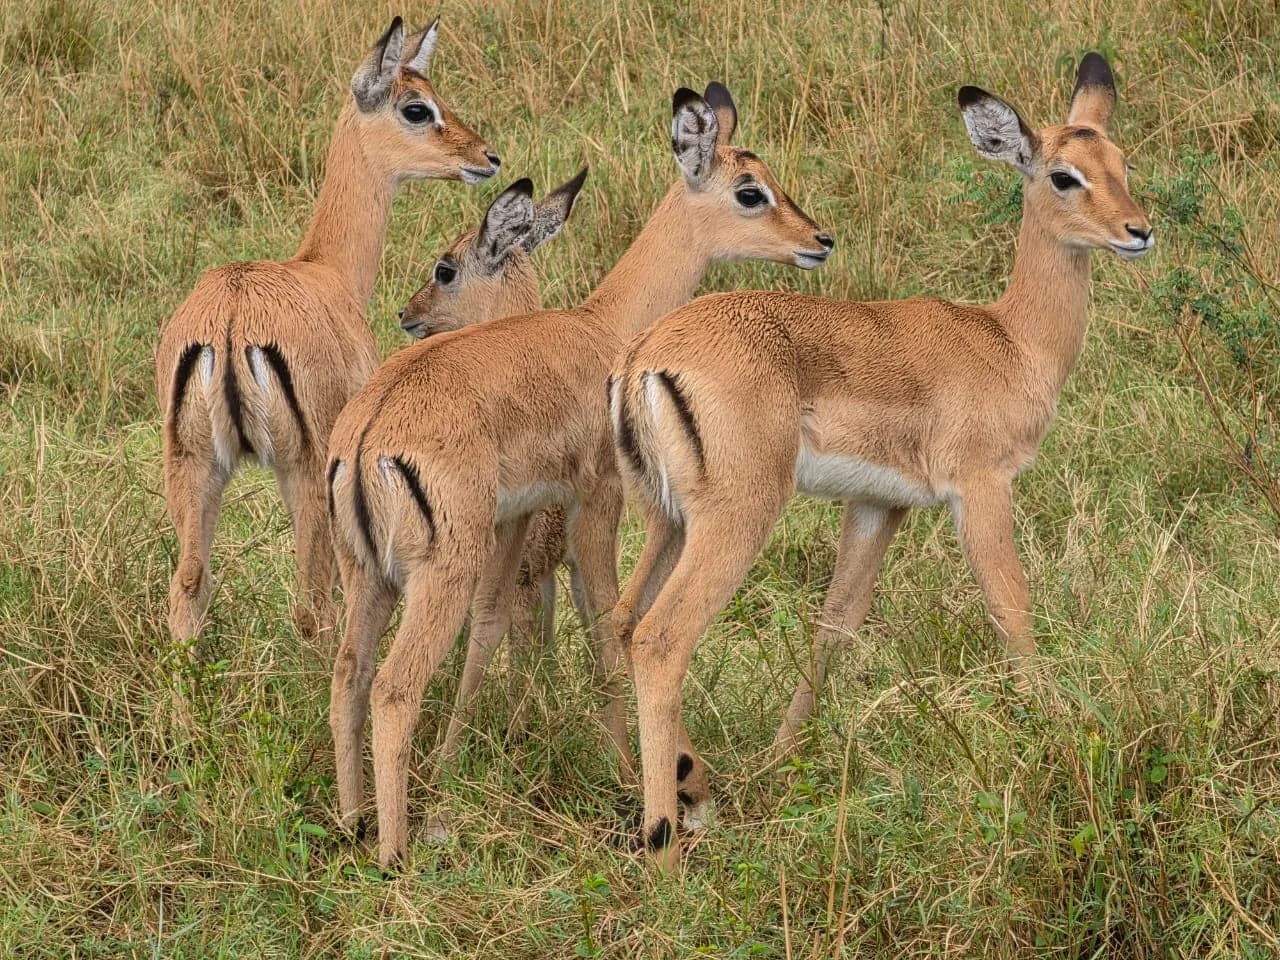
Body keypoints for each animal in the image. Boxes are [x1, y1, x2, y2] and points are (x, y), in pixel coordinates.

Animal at [156, 18, 499, 643]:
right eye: (417, 108)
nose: (487, 157)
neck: (326, 270)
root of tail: (231, 321)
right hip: (304, 473)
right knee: (311, 604)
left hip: (192, 464)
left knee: (189, 586)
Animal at [326, 82, 833, 866]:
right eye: (750, 191)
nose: (818, 241)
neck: (603, 328)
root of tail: (368, 434)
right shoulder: (596, 504)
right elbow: (607, 631)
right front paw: (642, 778)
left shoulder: (517, 519)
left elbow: (502, 627)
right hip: (439, 572)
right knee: (392, 687)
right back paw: (395, 852)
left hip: (371, 575)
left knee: (349, 674)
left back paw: (353, 821)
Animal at [612, 54, 1154, 869]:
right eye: (1064, 175)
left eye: (1120, 162)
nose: (1138, 231)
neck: (1009, 342)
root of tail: (647, 355)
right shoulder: (981, 487)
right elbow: (1011, 608)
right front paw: (1060, 729)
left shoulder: (878, 505)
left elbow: (834, 625)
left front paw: (783, 760)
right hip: (737, 518)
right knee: (660, 638)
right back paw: (667, 845)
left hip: (667, 521)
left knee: (620, 621)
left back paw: (690, 786)